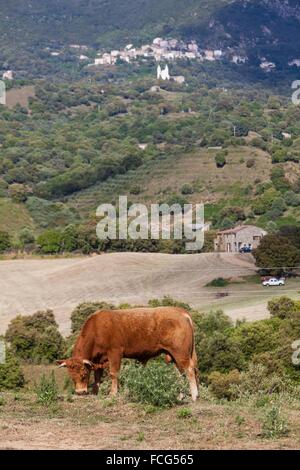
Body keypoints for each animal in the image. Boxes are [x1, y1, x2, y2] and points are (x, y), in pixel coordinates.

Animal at [57, 306, 199, 402]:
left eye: (84, 374)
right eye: (71, 376)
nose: (80, 392)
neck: (97, 329)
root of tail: (180, 311)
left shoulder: (114, 352)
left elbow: (113, 373)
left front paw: (113, 393)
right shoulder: (98, 360)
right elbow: (97, 377)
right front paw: (95, 392)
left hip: (180, 353)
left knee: (189, 370)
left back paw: (194, 396)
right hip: (173, 355)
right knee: (180, 373)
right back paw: (180, 396)